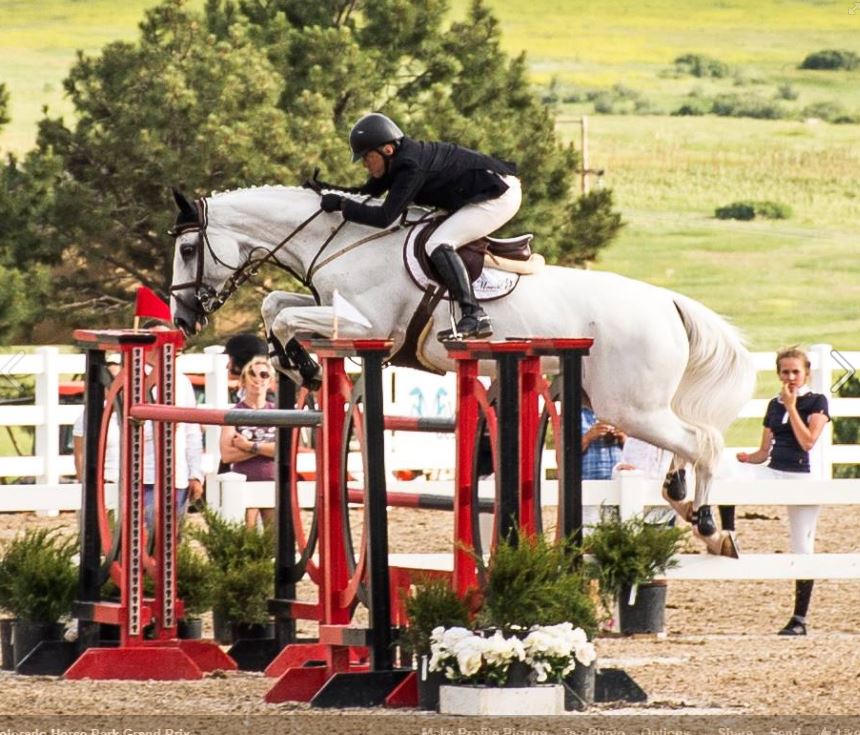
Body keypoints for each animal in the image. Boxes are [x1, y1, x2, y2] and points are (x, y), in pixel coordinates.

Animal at [168, 185, 755, 555]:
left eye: (189, 247)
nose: (182, 317)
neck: (344, 243)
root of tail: (668, 302)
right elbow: (276, 307)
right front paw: (296, 362)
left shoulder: (366, 324)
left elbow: (287, 314)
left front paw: (302, 365)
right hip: (622, 402)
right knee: (687, 442)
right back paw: (681, 496)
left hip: (628, 405)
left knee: (702, 441)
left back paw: (710, 528)